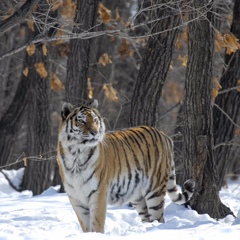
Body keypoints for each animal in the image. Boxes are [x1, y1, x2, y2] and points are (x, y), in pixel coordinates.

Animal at [57, 99, 196, 232]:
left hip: (155, 190)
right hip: (137, 196)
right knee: (147, 217)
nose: (95, 132)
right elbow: (86, 226)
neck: (76, 154)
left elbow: (96, 223)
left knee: (159, 218)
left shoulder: (98, 193)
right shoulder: (76, 198)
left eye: (95, 120)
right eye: (81, 121)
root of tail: (164, 135)